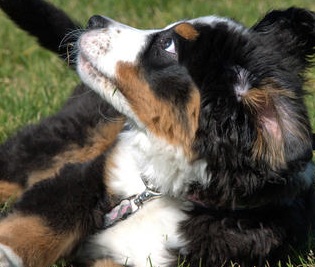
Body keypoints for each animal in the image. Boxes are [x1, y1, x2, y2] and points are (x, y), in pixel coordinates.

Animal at [0, 0, 315, 267]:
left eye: (167, 44)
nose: (94, 20)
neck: (158, 191)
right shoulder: (97, 170)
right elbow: (43, 219)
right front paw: (5, 254)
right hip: (81, 133)